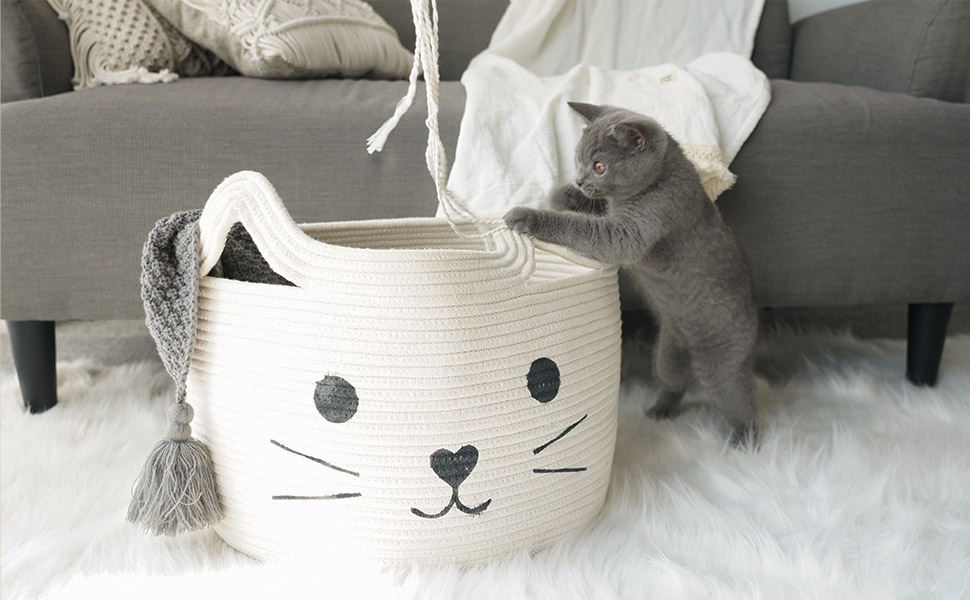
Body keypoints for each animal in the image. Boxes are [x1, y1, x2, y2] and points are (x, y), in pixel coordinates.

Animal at [504, 102, 759, 448]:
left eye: (600, 166)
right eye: (578, 158)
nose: (580, 180)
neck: (660, 178)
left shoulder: (635, 228)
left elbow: (581, 227)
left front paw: (528, 216)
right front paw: (565, 195)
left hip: (721, 362)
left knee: (738, 399)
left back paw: (744, 442)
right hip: (667, 350)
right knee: (674, 382)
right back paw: (660, 411)